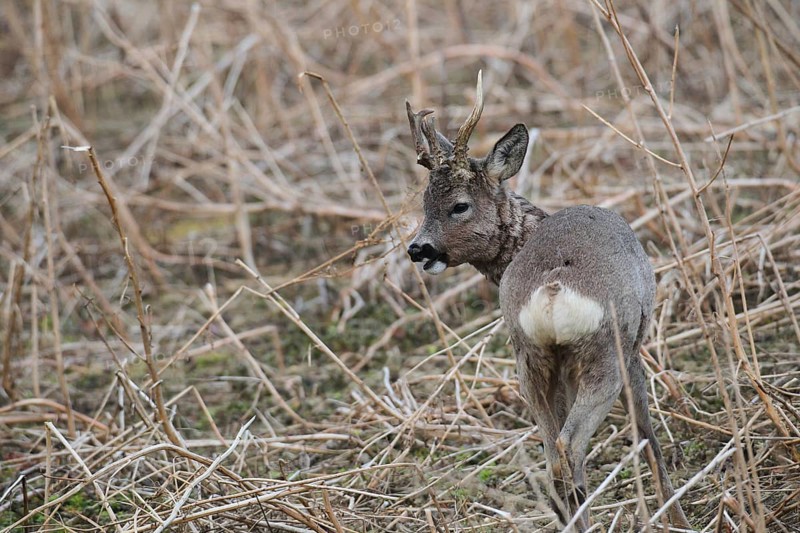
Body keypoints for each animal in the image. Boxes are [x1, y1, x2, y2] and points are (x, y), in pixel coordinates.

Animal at [405, 72, 691, 531]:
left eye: (457, 205)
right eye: (426, 203)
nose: (418, 249)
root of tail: (552, 290)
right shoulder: (633, 348)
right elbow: (647, 434)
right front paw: (677, 515)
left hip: (531, 358)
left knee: (552, 453)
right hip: (604, 354)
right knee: (569, 448)